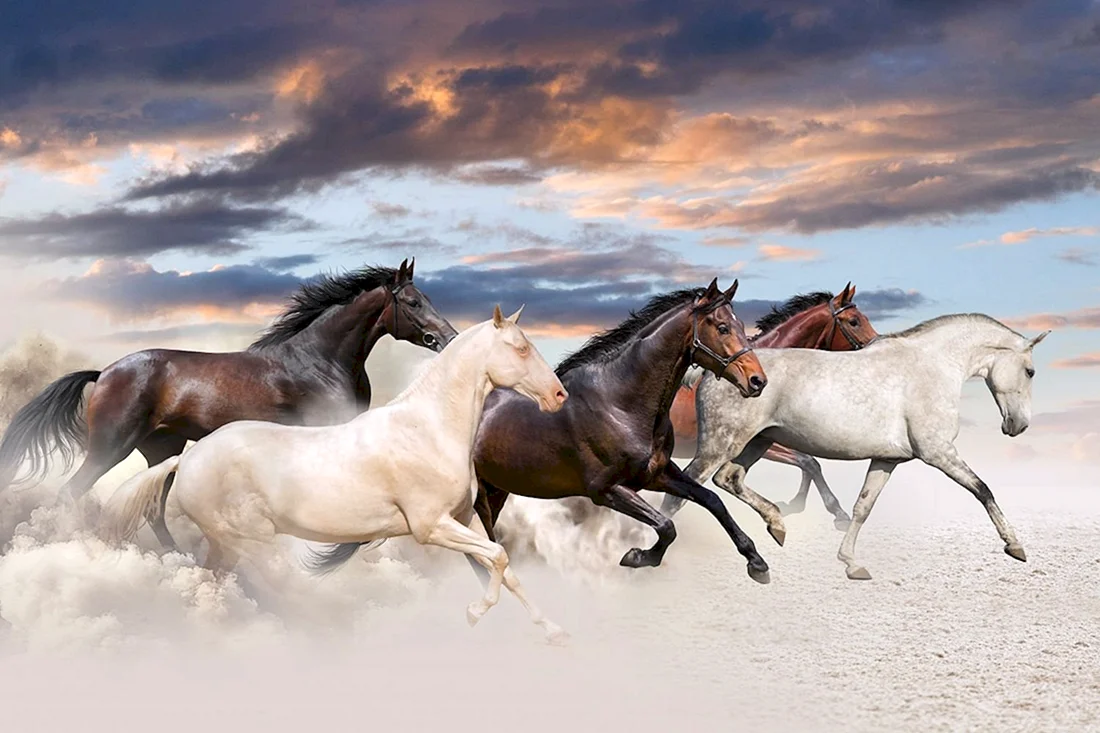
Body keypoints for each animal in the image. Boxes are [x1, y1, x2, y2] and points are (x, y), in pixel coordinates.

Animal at [0, 259, 457, 550]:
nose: (448, 338)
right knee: (71, 493)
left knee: (153, 509)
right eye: (413, 302)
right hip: (111, 447)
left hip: (162, 450)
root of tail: (104, 372)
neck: (319, 360)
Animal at [101, 305, 570, 641]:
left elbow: (504, 566)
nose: (558, 395)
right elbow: (499, 557)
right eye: (521, 348)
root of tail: (188, 459)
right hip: (246, 540)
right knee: (256, 583)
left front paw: (553, 631)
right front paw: (474, 614)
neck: (427, 429)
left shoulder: (463, 518)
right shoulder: (431, 526)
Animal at [659, 314, 1050, 580]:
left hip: (757, 442)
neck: (931, 367)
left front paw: (851, 563)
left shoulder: (887, 459)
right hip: (720, 444)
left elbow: (863, 507)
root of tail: (713, 371)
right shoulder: (938, 453)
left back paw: (777, 525)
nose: (1018, 425)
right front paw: (1015, 546)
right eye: (1030, 371)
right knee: (684, 492)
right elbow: (982, 489)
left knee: (729, 480)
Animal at [670, 283, 878, 529]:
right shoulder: (763, 443)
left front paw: (793, 506)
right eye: (854, 321)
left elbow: (809, 463)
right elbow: (808, 462)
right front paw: (836, 512)